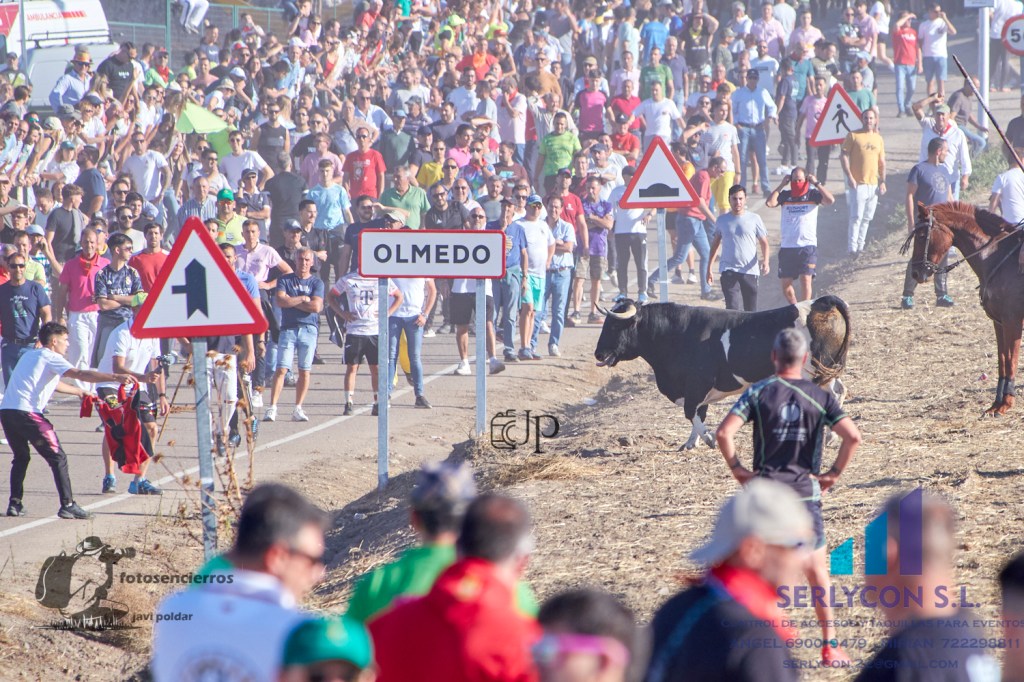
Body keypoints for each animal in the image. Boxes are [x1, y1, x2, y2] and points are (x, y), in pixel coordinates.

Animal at [594, 296, 851, 449]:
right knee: (840, 391)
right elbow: (699, 413)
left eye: (614, 325)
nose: (598, 353)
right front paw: (691, 443)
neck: (678, 334)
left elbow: (690, 412)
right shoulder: (696, 391)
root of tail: (822, 302)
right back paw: (831, 435)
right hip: (828, 373)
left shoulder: (697, 384)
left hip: (815, 373)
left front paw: (708, 438)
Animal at [902, 201, 1024, 415]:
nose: (916, 272)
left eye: (923, 235)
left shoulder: (1013, 322)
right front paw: (996, 403)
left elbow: (1011, 361)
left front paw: (1006, 403)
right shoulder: (999, 323)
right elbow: (1002, 361)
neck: (997, 256)